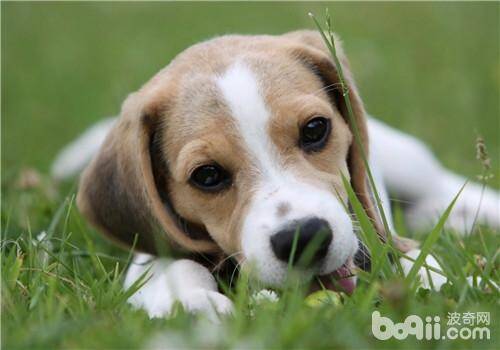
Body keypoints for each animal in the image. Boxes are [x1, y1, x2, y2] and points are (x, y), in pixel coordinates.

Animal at [53, 30, 500, 320]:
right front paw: (193, 303)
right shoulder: (152, 251)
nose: (304, 238)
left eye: (315, 129)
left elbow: (405, 256)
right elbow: (175, 264)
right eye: (207, 175)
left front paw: (420, 273)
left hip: (407, 159)